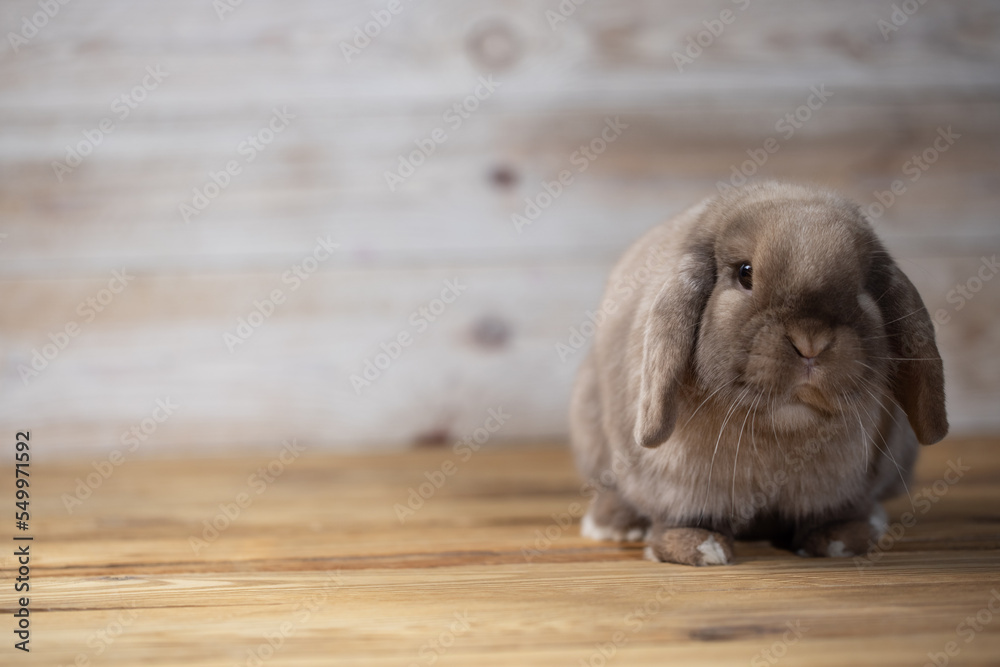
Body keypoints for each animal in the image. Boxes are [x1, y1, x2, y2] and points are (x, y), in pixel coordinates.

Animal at [569, 181, 947, 566]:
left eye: (860, 287)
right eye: (745, 273)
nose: (810, 340)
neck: (781, 427)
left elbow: (834, 515)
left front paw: (839, 540)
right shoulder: (677, 485)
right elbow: (681, 518)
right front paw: (700, 547)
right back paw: (613, 525)